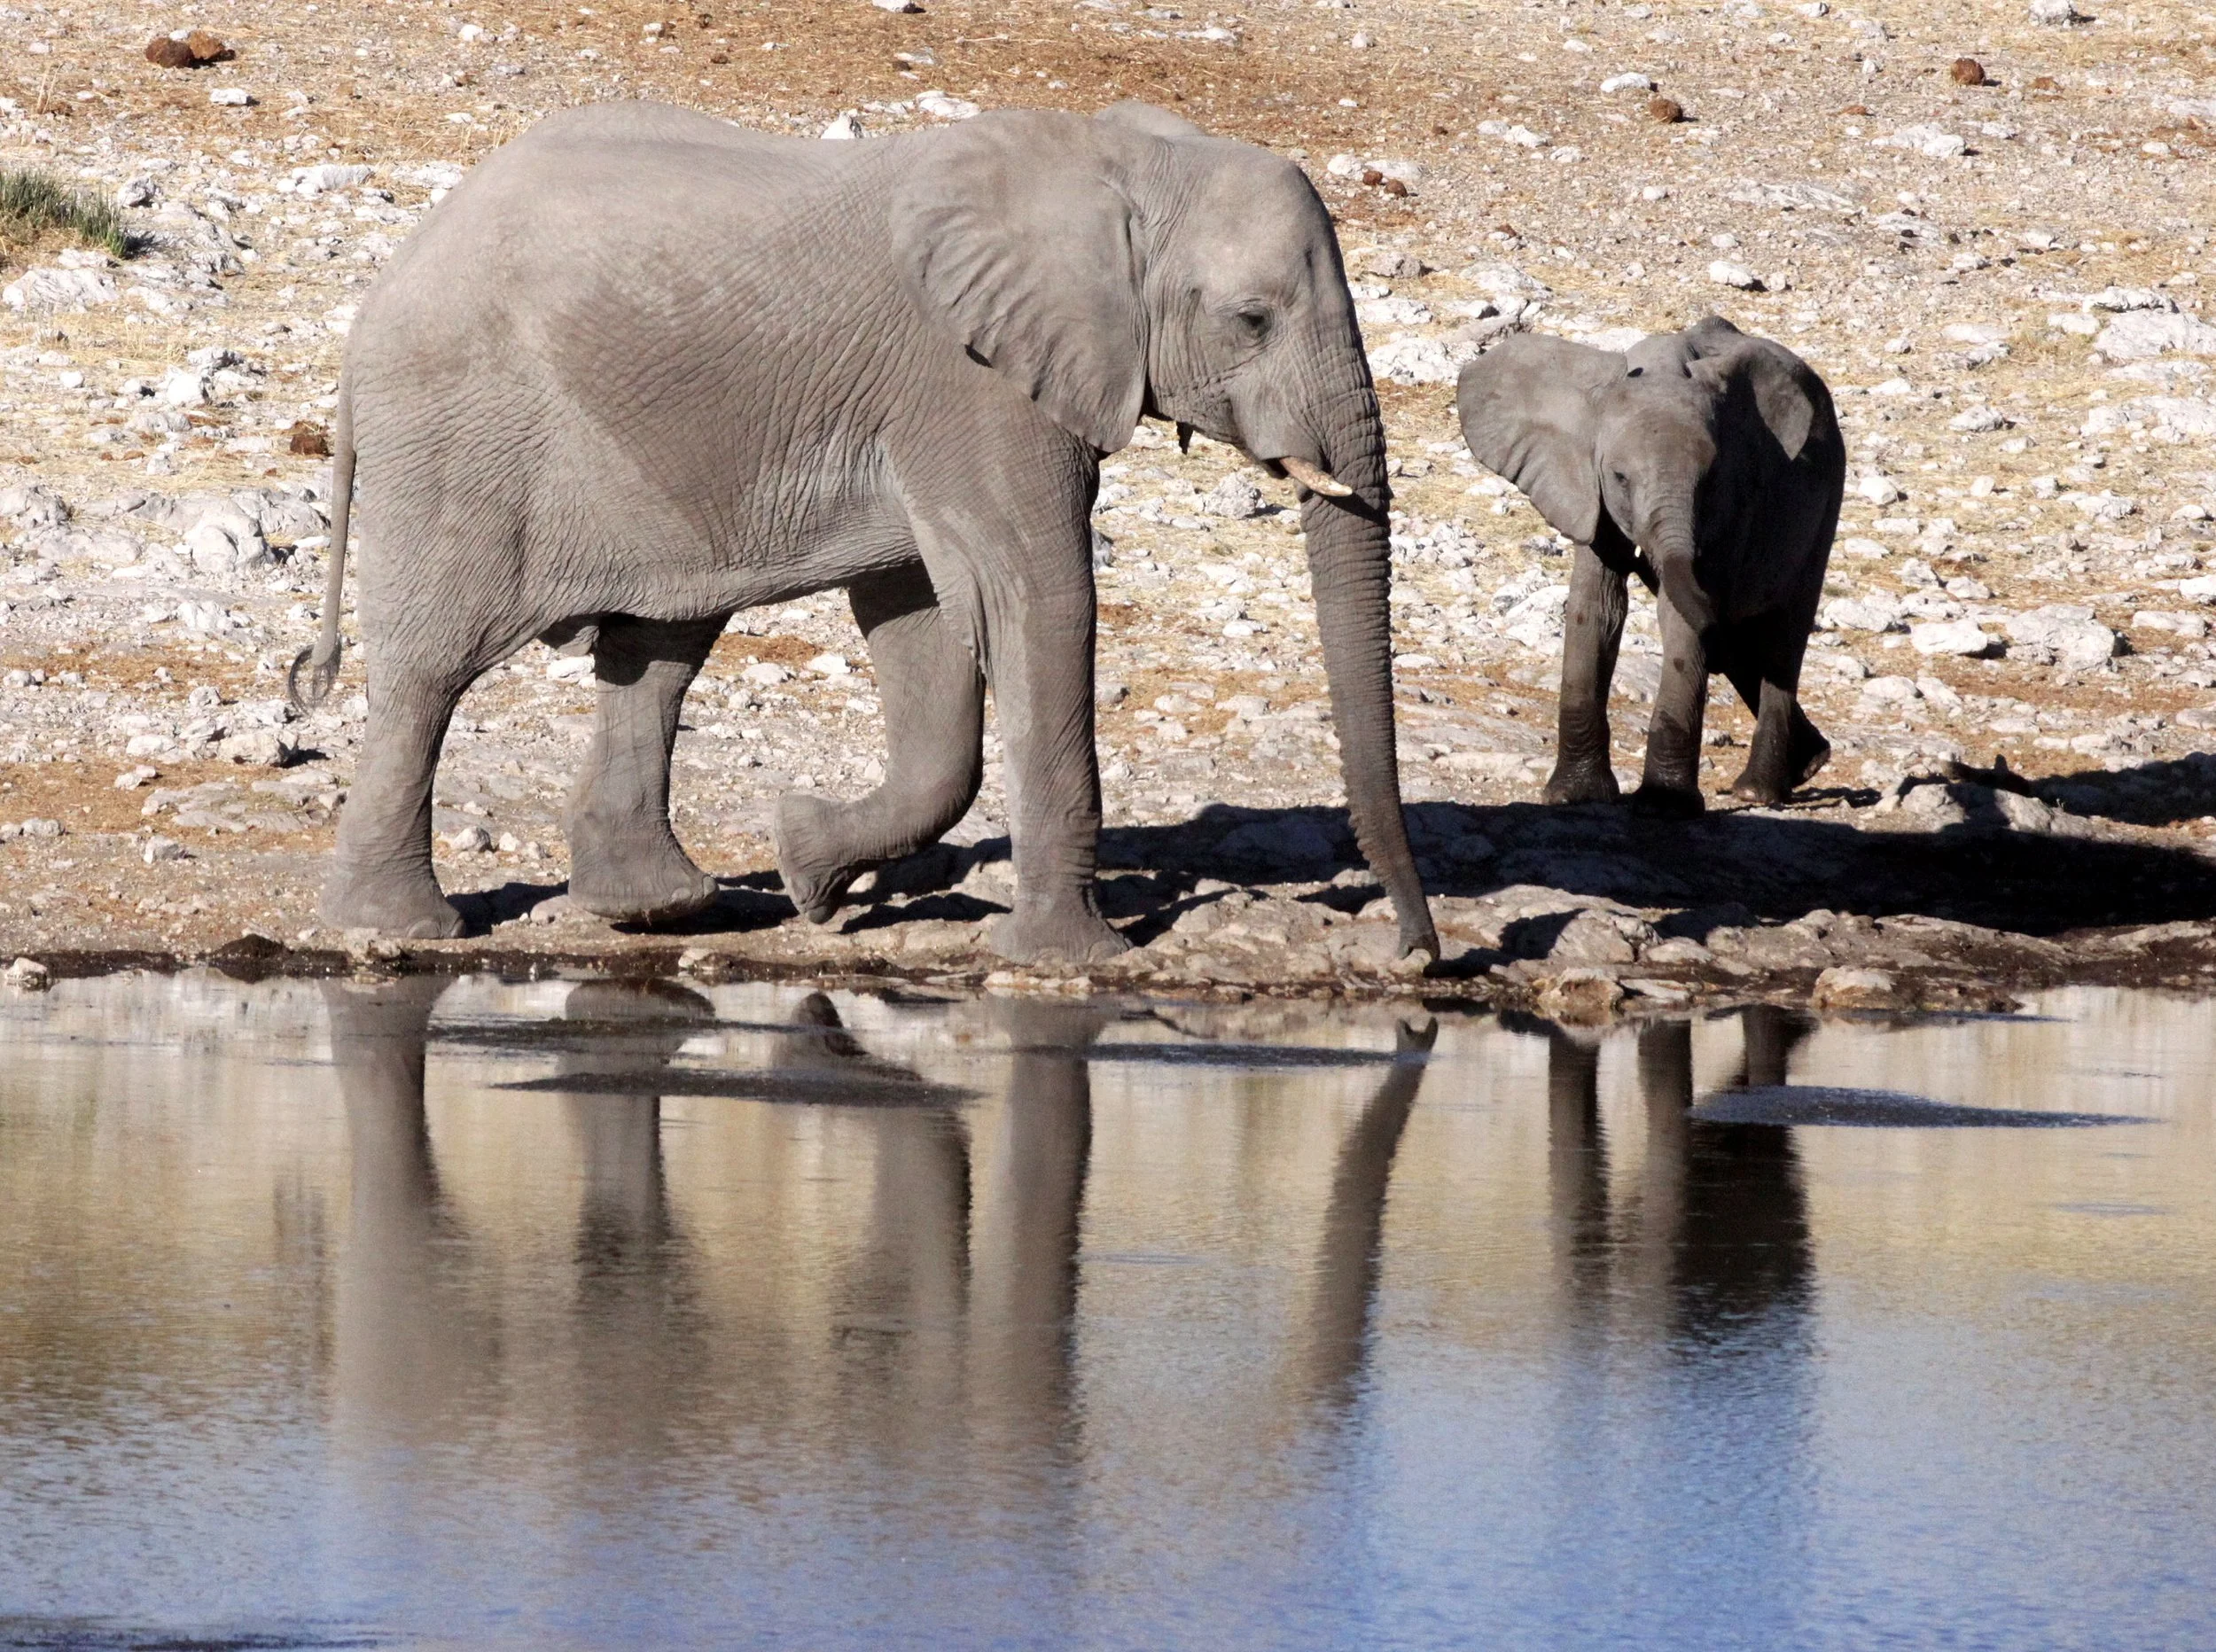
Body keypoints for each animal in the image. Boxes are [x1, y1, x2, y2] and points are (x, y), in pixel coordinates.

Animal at [290, 97, 1438, 965]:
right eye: (1251, 320)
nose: (1416, 955)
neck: (1122, 162)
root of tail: (375, 301)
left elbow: (923, 615)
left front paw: (808, 870)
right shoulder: (970, 384)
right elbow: (1038, 596)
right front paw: (1074, 959)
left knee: (656, 653)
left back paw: (664, 907)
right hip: (456, 436)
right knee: (431, 671)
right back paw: (403, 930)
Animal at [1455, 315, 1844, 815]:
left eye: (1709, 481)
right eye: (1620, 478)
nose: (1646, 557)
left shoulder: (1733, 503)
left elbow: (1679, 616)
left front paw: (1664, 807)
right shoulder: (1588, 490)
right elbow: (1596, 606)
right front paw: (1574, 797)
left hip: (1828, 496)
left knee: (1783, 638)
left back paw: (1760, 789)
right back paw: (1805, 766)